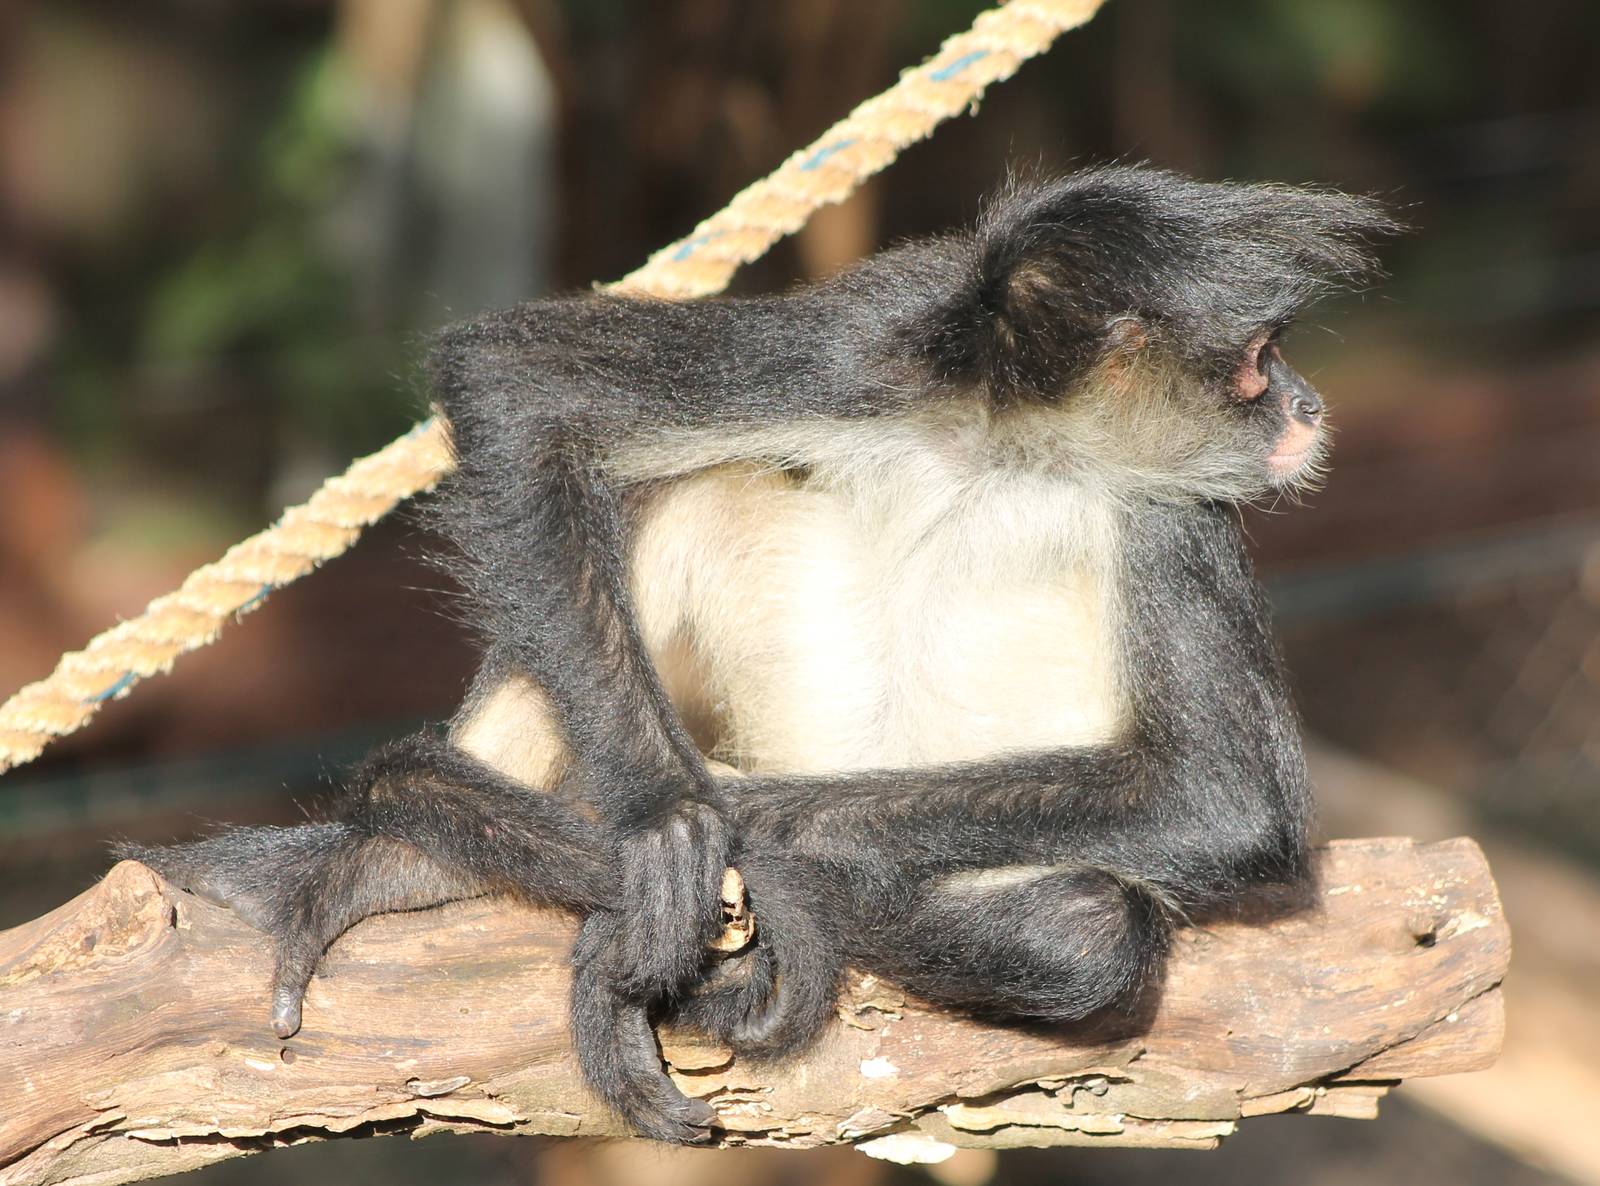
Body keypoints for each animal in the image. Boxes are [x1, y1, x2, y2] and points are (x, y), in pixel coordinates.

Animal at [124, 164, 1394, 1144]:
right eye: (1259, 360)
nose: (1306, 406)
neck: (1014, 446)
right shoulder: (881, 340)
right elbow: (514, 379)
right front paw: (657, 827)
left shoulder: (1175, 502)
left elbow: (1221, 803)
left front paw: (708, 833)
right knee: (677, 487)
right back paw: (391, 866)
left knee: (1085, 927)